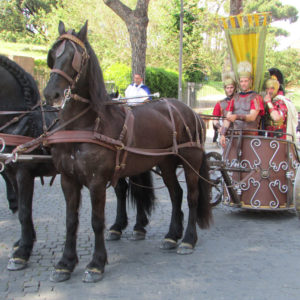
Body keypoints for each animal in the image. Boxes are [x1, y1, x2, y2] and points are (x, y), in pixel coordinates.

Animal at [43, 21, 211, 284]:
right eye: (53, 55)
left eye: (74, 56)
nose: (52, 94)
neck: (84, 124)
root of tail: (189, 111)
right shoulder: (68, 179)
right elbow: (71, 221)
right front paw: (65, 263)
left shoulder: (97, 182)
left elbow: (97, 221)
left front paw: (96, 264)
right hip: (166, 163)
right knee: (176, 194)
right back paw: (172, 235)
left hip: (191, 160)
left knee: (192, 197)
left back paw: (187, 240)